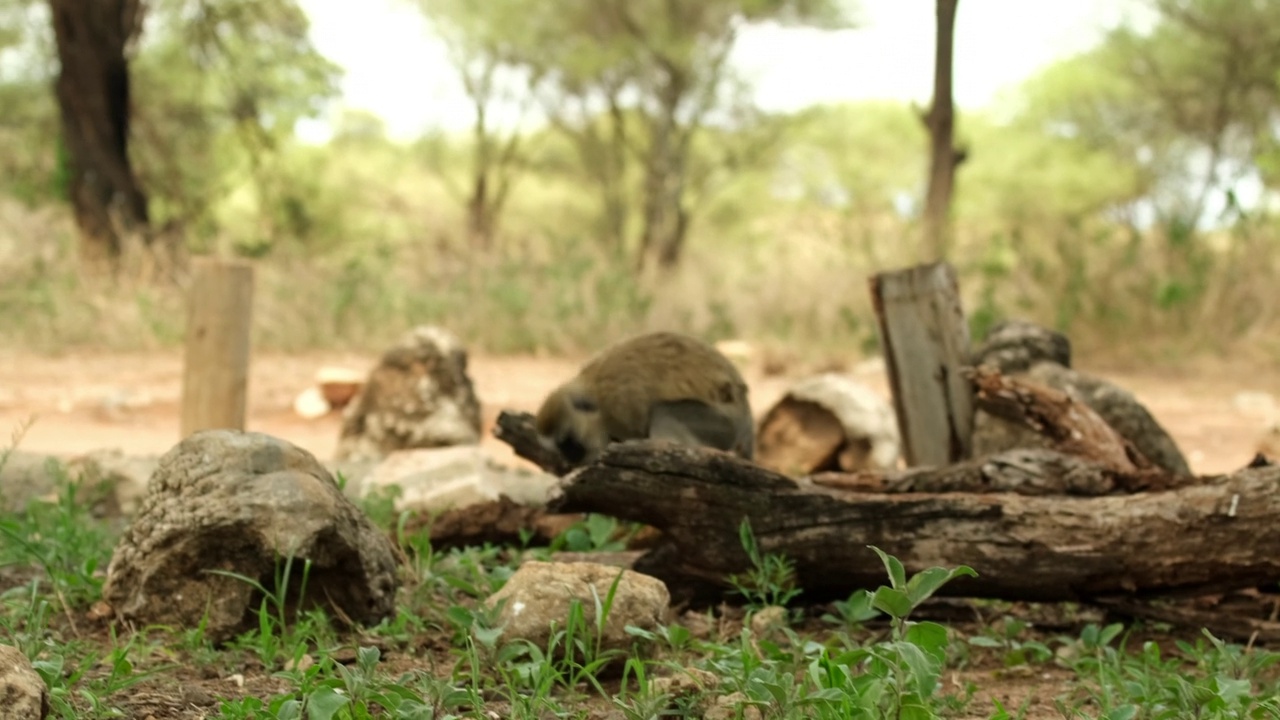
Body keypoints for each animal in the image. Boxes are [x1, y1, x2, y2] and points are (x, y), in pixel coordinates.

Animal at [535, 330, 752, 466]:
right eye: (562, 448)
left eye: (569, 444)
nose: (570, 461)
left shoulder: (622, 406)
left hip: (725, 426)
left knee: (663, 411)